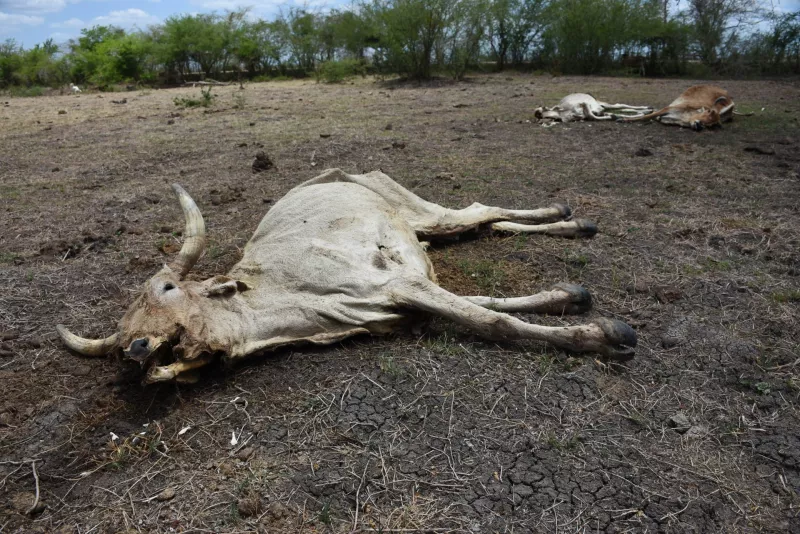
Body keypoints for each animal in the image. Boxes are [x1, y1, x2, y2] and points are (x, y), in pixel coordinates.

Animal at [57, 169, 637, 385]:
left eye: (168, 288)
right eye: (119, 339)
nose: (136, 350)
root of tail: (351, 174)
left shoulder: (393, 285)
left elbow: (492, 320)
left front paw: (605, 335)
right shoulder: (400, 304)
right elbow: (486, 304)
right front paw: (570, 294)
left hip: (422, 211)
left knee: (479, 210)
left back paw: (572, 216)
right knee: (488, 223)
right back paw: (571, 225)